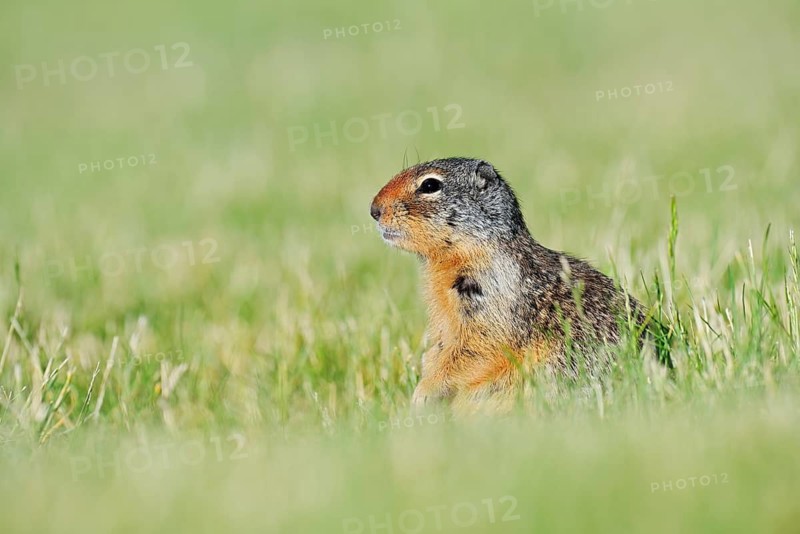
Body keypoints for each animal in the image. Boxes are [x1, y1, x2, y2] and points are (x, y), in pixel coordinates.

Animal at [370, 157, 669, 414]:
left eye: (430, 185)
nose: (373, 210)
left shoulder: (492, 296)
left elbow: (475, 350)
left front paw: (422, 394)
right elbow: (440, 349)